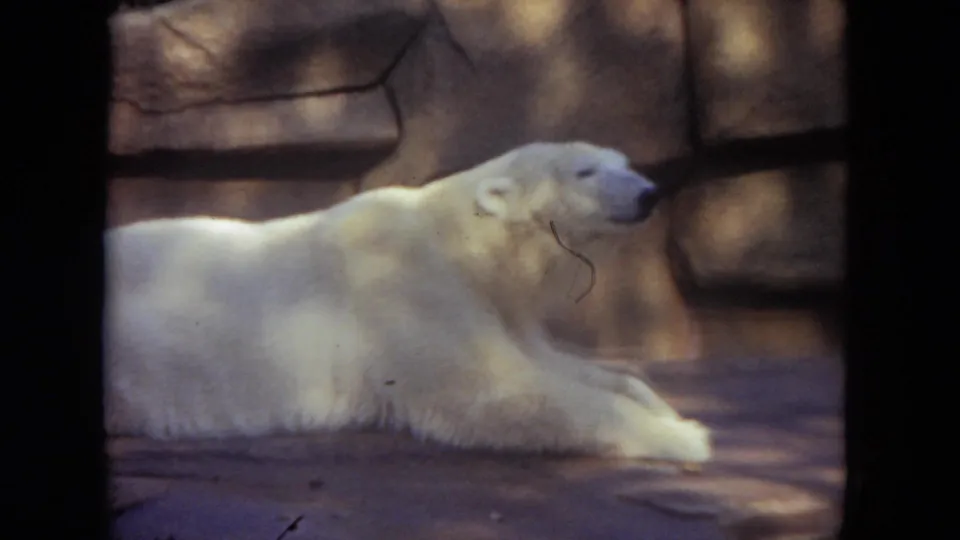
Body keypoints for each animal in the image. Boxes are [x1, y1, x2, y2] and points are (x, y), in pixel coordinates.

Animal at [103, 141, 711, 463]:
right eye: (586, 170)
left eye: (624, 162)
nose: (649, 193)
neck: (460, 244)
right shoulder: (409, 288)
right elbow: (496, 394)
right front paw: (686, 437)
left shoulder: (497, 304)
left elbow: (553, 363)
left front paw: (661, 404)